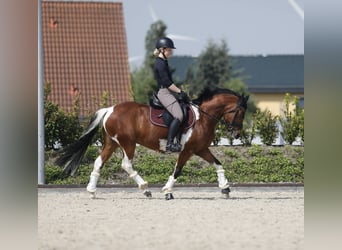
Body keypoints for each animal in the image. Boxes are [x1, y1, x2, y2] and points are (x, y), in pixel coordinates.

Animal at [56, 87, 248, 200]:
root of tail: (110, 109)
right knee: (126, 164)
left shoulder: (201, 149)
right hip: (128, 143)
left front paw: (225, 188)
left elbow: (218, 164)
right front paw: (167, 191)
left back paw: (91, 190)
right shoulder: (187, 150)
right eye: (240, 112)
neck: (203, 117)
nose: (236, 133)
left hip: (112, 143)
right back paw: (145, 188)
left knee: (99, 162)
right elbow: (177, 170)